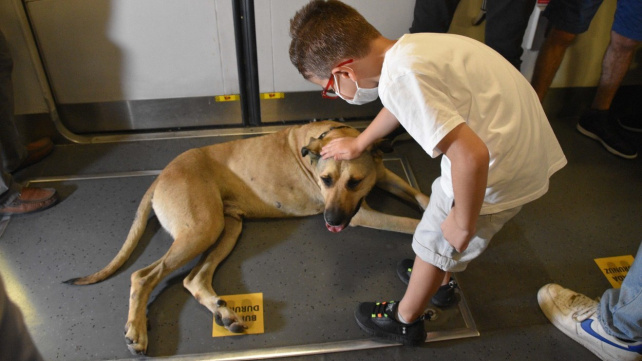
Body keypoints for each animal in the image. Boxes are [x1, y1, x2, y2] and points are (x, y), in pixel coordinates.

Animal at [65, 119, 428, 352]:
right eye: (325, 180)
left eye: (354, 182)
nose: (331, 220)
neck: (334, 135)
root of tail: (161, 175)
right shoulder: (362, 213)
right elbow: (411, 224)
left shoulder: (383, 175)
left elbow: (421, 197)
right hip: (202, 230)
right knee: (143, 276)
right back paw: (137, 331)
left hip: (225, 229)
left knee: (193, 279)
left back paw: (223, 313)